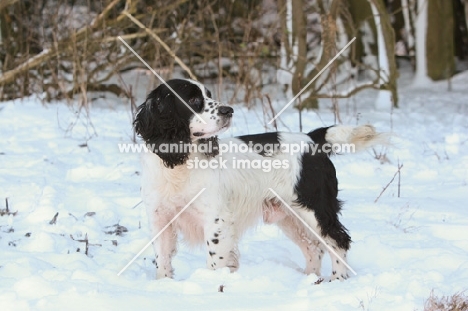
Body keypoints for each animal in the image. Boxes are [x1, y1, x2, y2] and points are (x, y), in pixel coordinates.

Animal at [133, 78, 386, 280]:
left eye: (208, 95)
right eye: (194, 99)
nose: (228, 110)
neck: (179, 166)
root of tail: (312, 139)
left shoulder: (215, 220)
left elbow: (215, 260)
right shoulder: (160, 219)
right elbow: (163, 260)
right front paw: (164, 285)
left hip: (316, 209)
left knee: (338, 241)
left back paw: (337, 280)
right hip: (290, 216)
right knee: (314, 248)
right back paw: (310, 280)